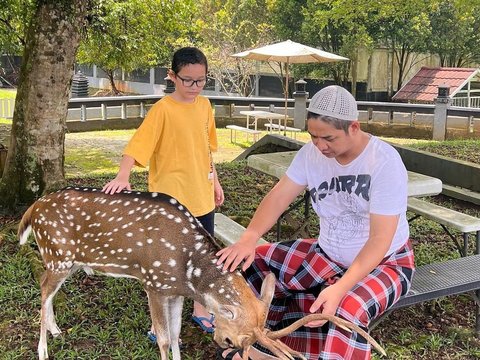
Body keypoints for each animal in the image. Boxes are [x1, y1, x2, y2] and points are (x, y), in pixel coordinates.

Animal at [19, 187, 386, 358]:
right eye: (236, 337)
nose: (226, 345)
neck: (189, 271)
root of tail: (32, 210)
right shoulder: (153, 282)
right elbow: (163, 337)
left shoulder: (175, 290)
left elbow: (177, 333)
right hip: (57, 255)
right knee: (42, 286)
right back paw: (42, 350)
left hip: (67, 262)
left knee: (47, 291)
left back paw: (56, 331)